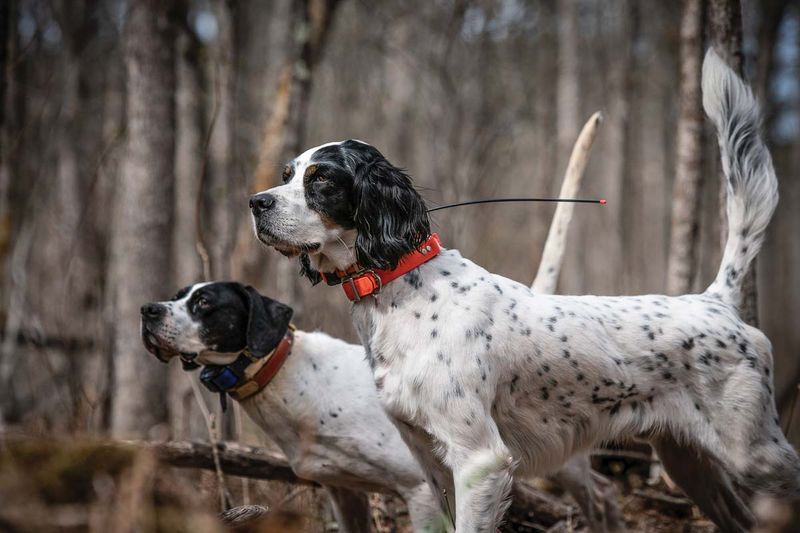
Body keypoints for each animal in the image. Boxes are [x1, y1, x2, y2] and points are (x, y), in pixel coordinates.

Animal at [252, 48, 800, 528]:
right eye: (287, 174)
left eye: (322, 181)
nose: (256, 202)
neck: (400, 288)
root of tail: (716, 301)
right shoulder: (430, 463)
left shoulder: (479, 460)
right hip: (688, 460)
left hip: (753, 453)